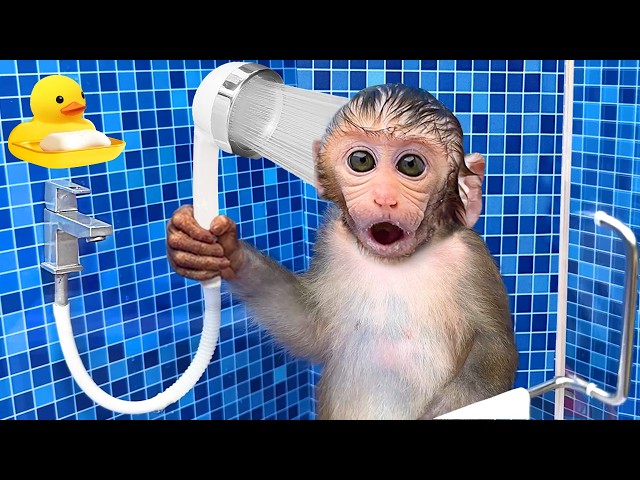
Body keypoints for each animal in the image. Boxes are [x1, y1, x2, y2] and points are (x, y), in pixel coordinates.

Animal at [166, 83, 519, 420]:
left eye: (411, 165)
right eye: (361, 161)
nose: (384, 197)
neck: (395, 262)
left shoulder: (471, 259)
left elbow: (495, 350)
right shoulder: (331, 242)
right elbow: (309, 328)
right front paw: (225, 251)